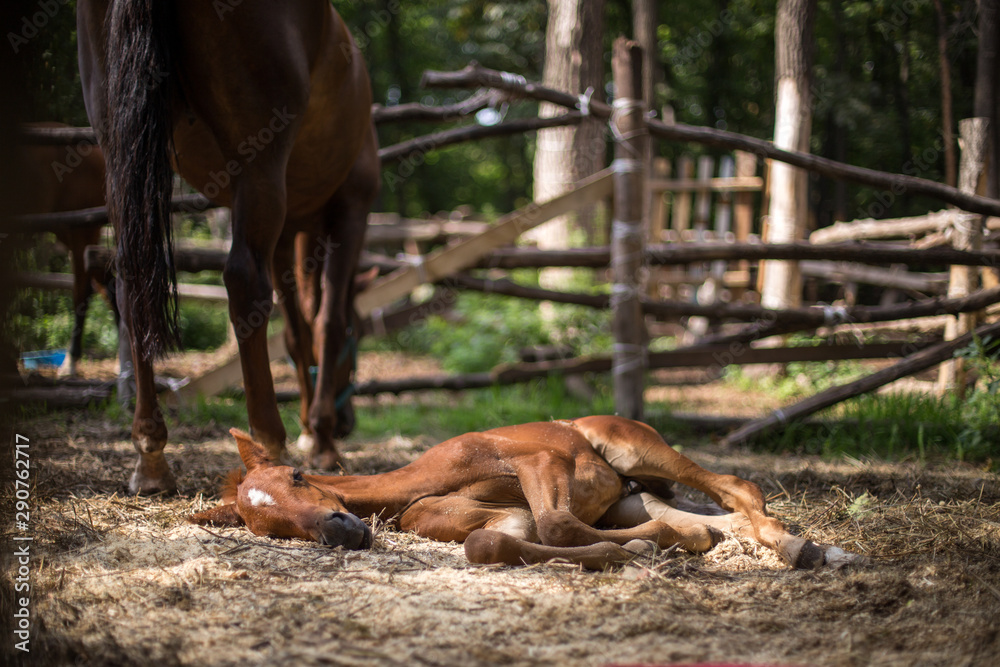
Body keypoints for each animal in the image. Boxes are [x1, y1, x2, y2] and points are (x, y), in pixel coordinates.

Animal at [77, 0, 379, 494]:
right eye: (361, 334)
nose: (348, 421)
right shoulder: (350, 210)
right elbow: (326, 323)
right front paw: (321, 439)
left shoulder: (288, 233)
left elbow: (297, 333)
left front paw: (313, 428)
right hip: (259, 161)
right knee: (244, 282)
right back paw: (269, 443)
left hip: (120, 155)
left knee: (132, 284)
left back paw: (151, 457)